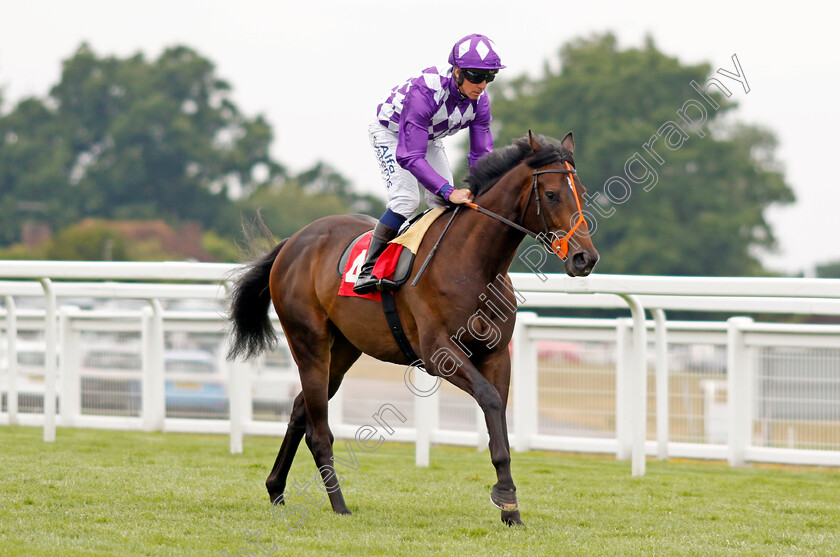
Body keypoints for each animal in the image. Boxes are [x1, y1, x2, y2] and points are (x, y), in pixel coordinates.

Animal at [228, 132, 596, 524]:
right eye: (552, 194)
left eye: (582, 191)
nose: (585, 258)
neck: (474, 263)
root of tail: (293, 242)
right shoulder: (440, 354)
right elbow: (490, 399)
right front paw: (505, 494)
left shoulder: (497, 355)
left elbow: (499, 413)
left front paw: (510, 507)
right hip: (308, 343)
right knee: (318, 431)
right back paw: (339, 504)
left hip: (343, 350)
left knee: (300, 409)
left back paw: (276, 488)